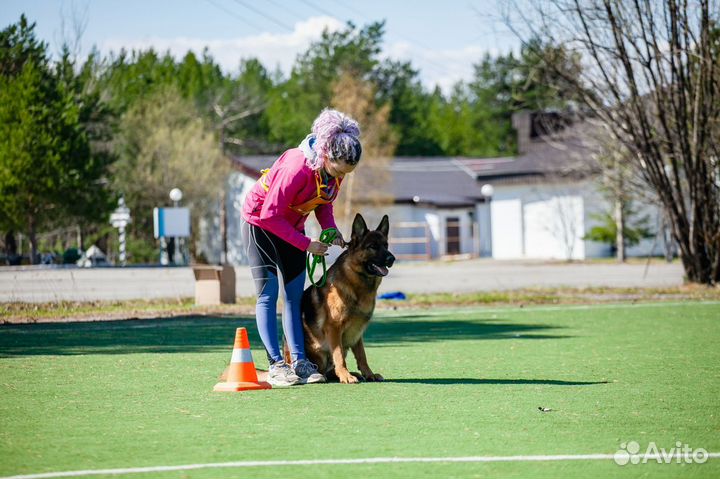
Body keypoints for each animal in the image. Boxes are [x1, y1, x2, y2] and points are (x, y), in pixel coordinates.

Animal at [290, 216, 396, 384]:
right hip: (318, 353)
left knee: (330, 371)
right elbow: (339, 355)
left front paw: (369, 374)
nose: (392, 258)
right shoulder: (334, 328)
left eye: (386, 245)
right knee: (325, 370)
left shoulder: (357, 332)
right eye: (372, 246)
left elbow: (362, 355)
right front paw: (345, 375)